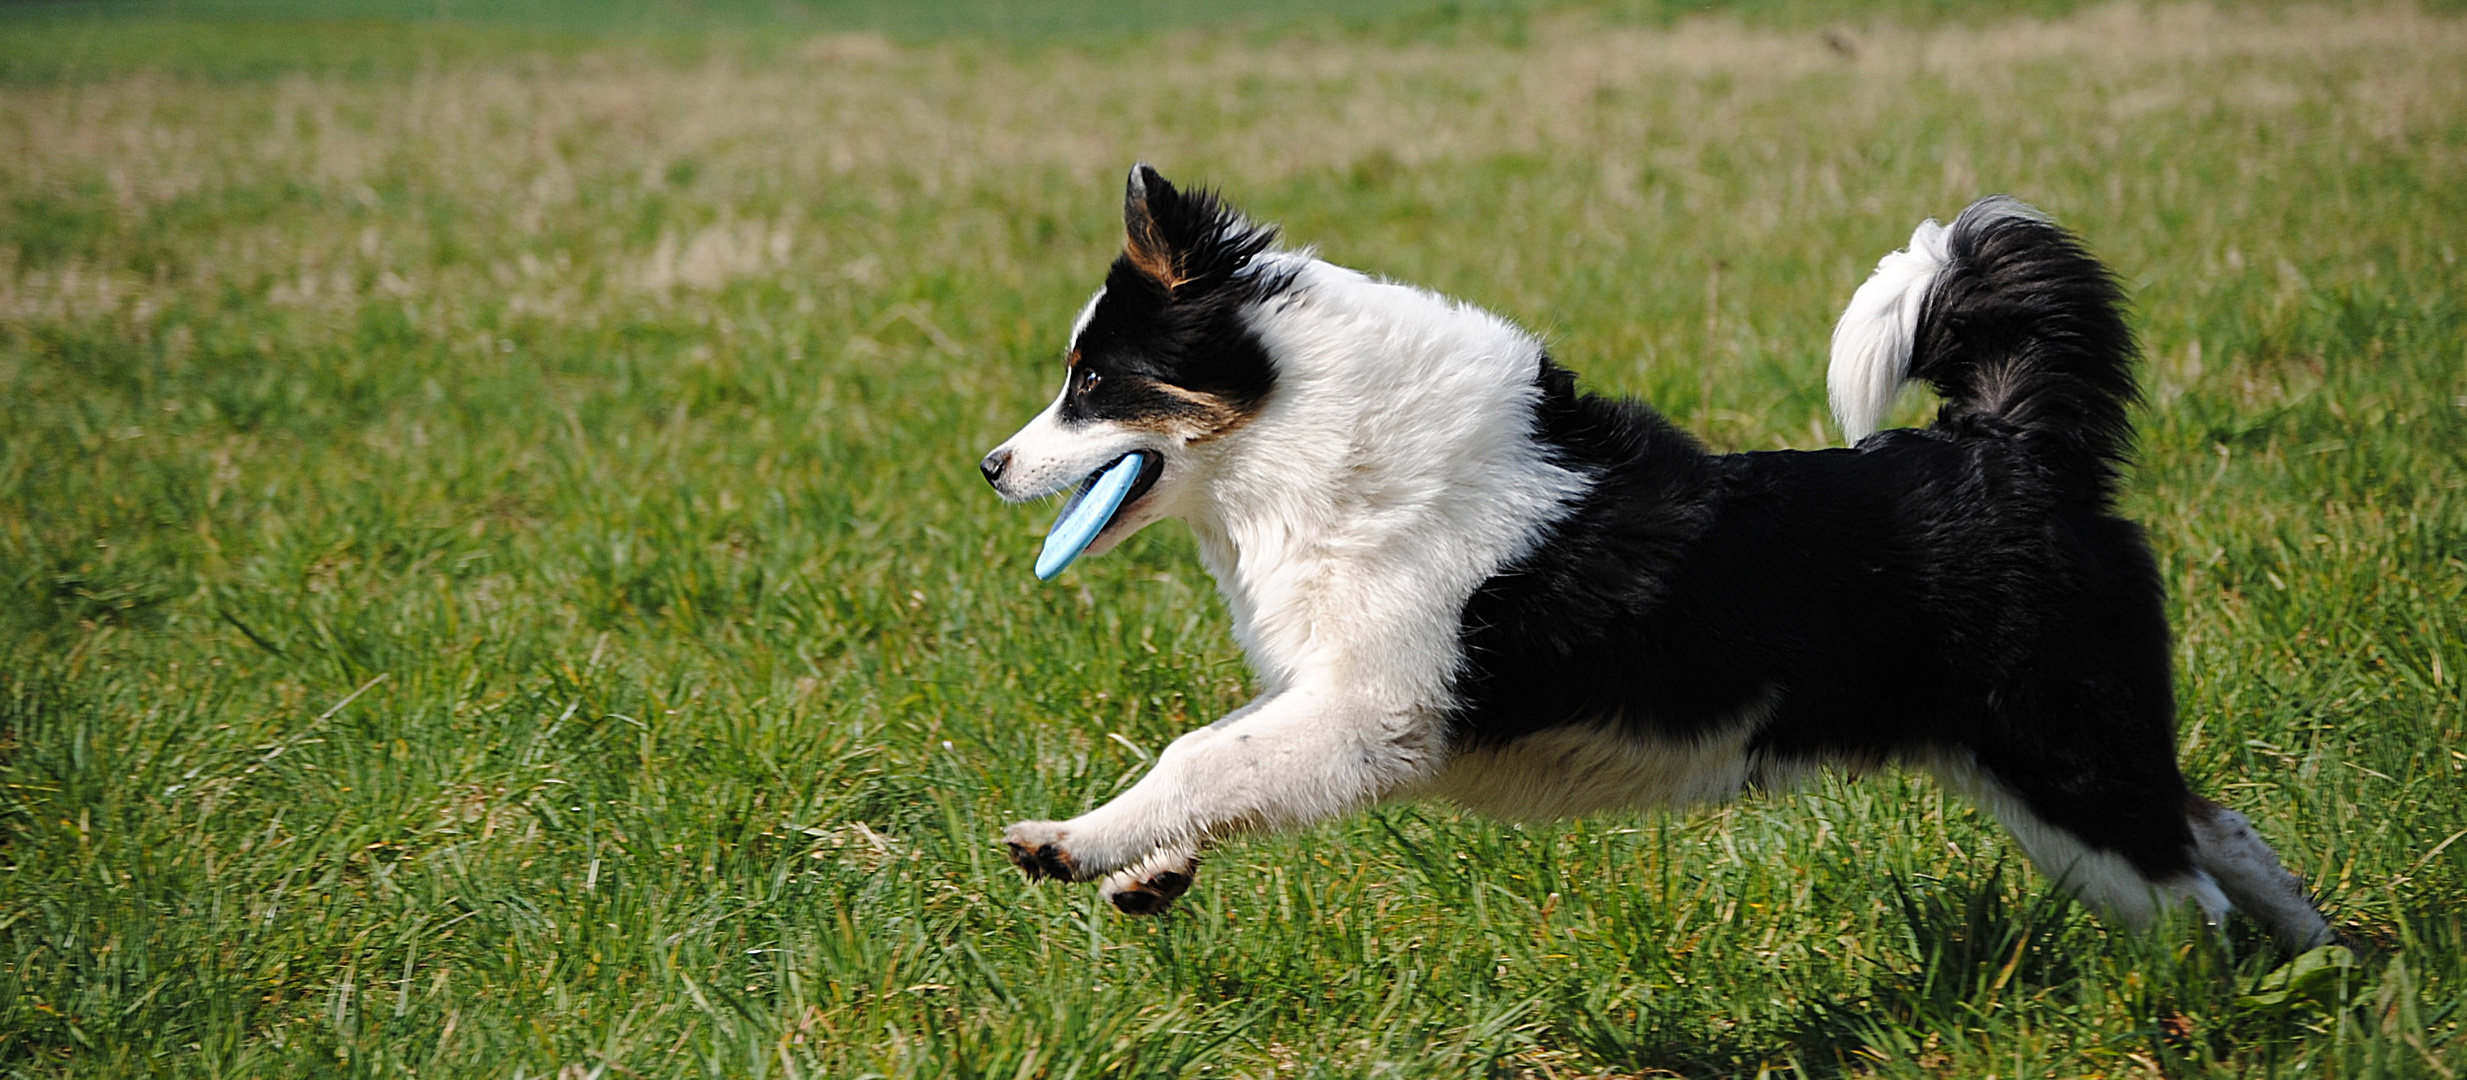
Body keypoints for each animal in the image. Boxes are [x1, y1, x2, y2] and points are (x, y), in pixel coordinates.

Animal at [976, 163, 2328, 946]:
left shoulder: (1377, 713)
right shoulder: (1333, 700)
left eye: (1091, 384)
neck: (1302, 442)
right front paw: (1147, 870)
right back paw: (2320, 960)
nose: (988, 466)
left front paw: (1072, 842)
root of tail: (2010, 447)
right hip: (2055, 764)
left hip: (2057, 757)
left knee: (2192, 898)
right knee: (2217, 835)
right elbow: (1229, 753)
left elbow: (1202, 753)